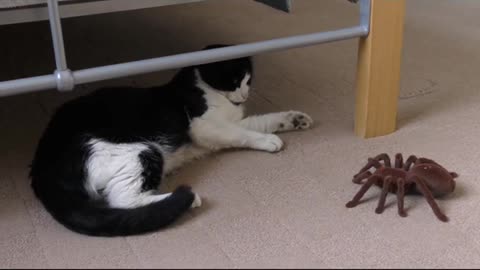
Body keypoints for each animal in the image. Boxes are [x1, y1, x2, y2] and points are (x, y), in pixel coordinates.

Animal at [31, 44, 316, 236]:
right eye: (234, 80)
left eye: (249, 79)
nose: (245, 94)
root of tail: (42, 164)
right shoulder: (204, 126)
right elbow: (242, 134)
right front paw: (268, 141)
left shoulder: (230, 121)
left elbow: (259, 121)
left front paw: (293, 120)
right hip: (138, 151)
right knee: (124, 200)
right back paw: (186, 199)